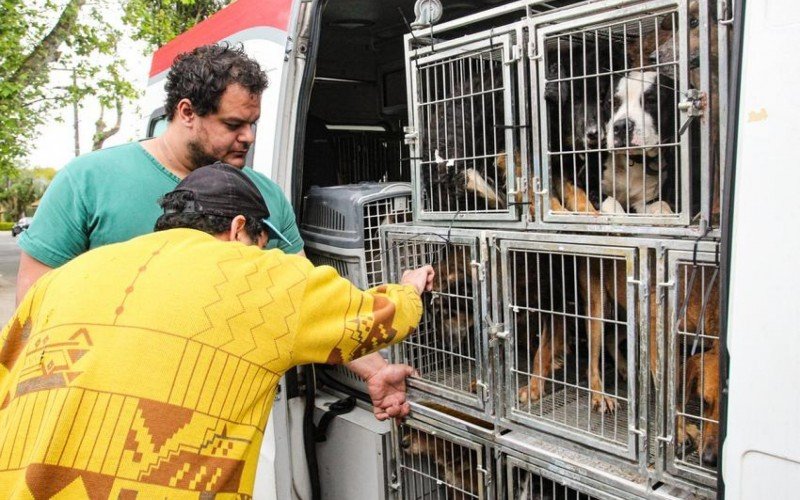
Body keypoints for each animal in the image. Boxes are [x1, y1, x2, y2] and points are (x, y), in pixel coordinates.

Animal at [600, 70, 676, 215]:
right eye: (612, 103)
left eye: (651, 101)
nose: (622, 126)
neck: (632, 162)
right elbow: (612, 203)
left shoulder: (644, 200)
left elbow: (660, 204)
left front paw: (664, 212)